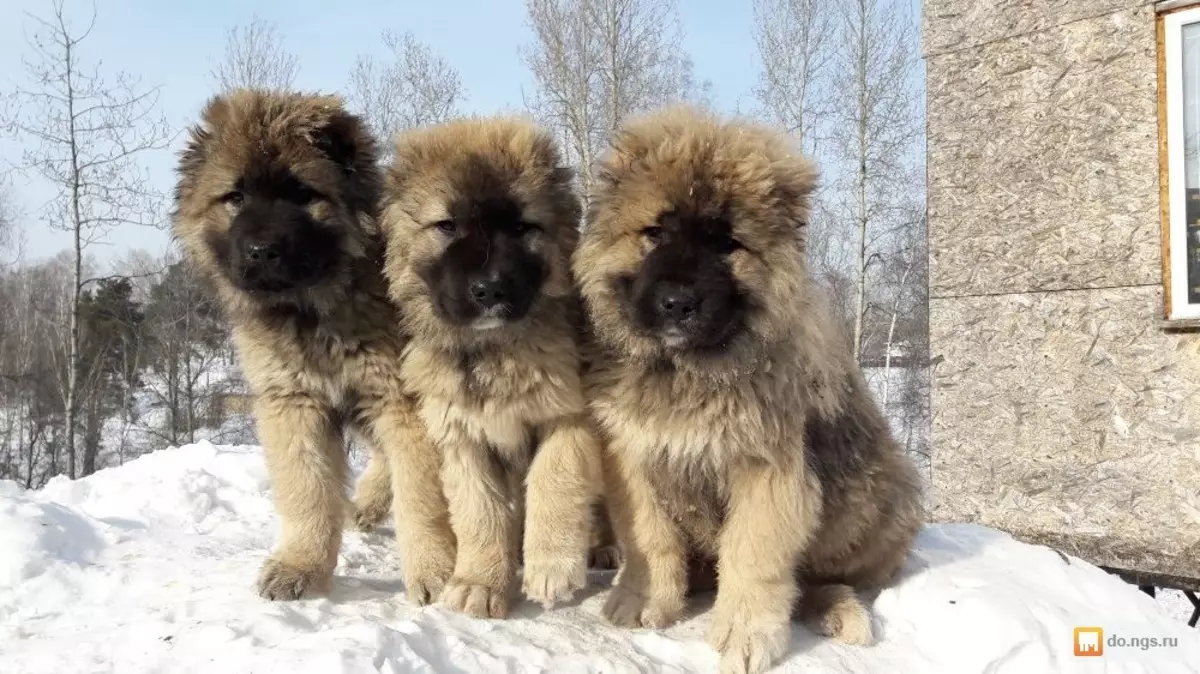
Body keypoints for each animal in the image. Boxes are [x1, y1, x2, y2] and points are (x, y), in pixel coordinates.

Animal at [166, 90, 451, 604]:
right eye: (235, 197)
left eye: (302, 195)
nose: (262, 251)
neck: (316, 310)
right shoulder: (295, 403)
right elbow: (308, 490)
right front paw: (302, 565)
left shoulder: (403, 401)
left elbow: (422, 497)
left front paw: (434, 571)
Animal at [379, 113, 604, 614]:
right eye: (446, 226)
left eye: (522, 228)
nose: (490, 289)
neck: (494, 352)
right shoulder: (461, 436)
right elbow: (479, 512)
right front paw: (480, 583)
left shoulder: (567, 417)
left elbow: (553, 481)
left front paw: (550, 568)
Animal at [576, 106, 921, 671]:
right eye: (655, 233)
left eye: (728, 245)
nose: (678, 303)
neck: (688, 372)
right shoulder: (633, 459)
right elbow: (652, 539)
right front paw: (645, 599)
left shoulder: (766, 472)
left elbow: (752, 556)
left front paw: (745, 635)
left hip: (879, 495)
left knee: (825, 578)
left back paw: (837, 609)